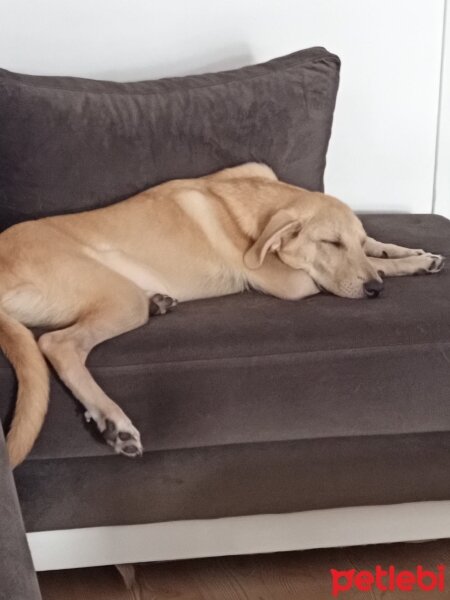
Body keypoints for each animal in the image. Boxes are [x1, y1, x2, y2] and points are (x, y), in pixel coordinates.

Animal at [0, 162, 442, 466]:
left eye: (350, 239)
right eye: (330, 243)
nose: (375, 292)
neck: (252, 205)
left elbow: (376, 249)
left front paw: (415, 255)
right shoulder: (290, 282)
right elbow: (361, 267)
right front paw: (399, 267)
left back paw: (159, 302)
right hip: (117, 298)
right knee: (58, 343)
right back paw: (113, 421)